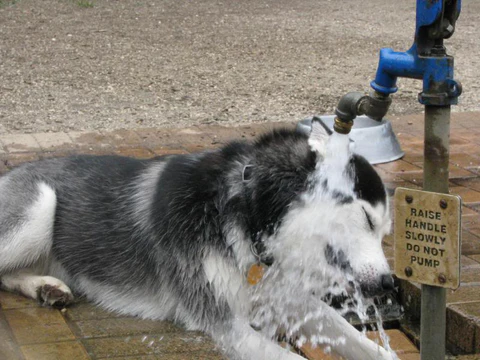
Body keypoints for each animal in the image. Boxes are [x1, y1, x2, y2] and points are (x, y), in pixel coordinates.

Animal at [0, 121, 396, 360]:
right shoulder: (223, 322)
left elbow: (348, 333)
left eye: (384, 232)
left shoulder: (282, 295)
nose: (388, 283)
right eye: (366, 218)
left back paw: (47, 287)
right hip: (40, 206)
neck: (245, 214)